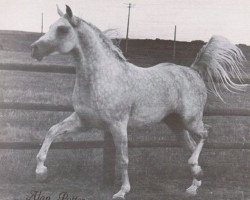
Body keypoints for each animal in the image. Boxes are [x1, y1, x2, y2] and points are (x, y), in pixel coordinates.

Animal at [30, 5, 246, 199]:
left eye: (62, 29)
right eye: (50, 26)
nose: (34, 49)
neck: (101, 77)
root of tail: (193, 71)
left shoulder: (117, 125)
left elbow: (123, 158)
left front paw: (122, 191)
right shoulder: (83, 121)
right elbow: (52, 131)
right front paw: (41, 172)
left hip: (190, 119)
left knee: (206, 133)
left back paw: (196, 171)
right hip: (176, 124)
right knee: (192, 145)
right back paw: (194, 184)